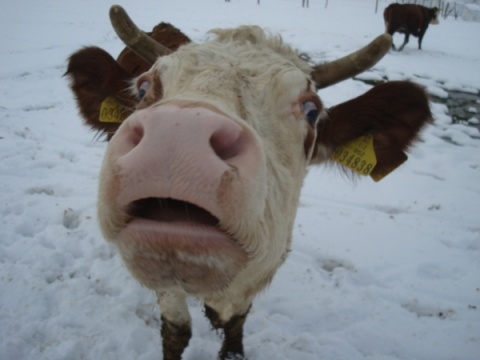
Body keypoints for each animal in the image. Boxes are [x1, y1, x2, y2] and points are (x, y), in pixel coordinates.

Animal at [64, 5, 432, 360]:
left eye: (312, 109)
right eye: (143, 88)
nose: (179, 132)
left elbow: (236, 328)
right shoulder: (168, 288)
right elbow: (177, 331)